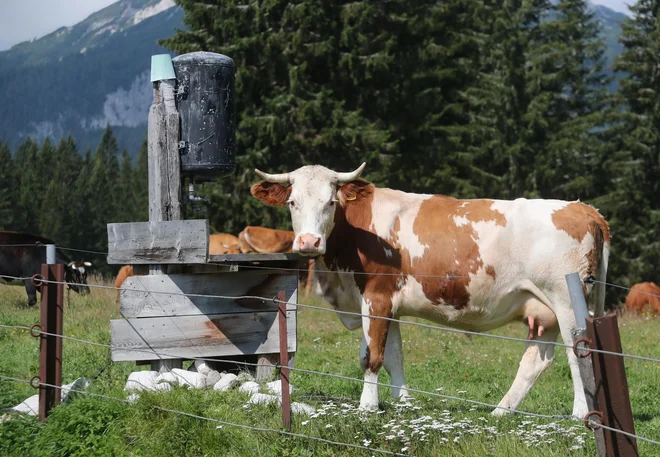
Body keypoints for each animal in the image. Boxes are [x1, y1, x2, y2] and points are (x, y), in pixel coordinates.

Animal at [250, 163, 612, 416]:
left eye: (330, 202)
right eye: (292, 202)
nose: (308, 242)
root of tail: (585, 208)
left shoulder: (376, 297)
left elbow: (372, 355)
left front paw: (367, 406)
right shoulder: (388, 303)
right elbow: (393, 355)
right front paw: (403, 402)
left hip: (567, 302)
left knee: (578, 355)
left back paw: (579, 414)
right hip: (543, 309)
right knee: (535, 362)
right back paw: (500, 412)